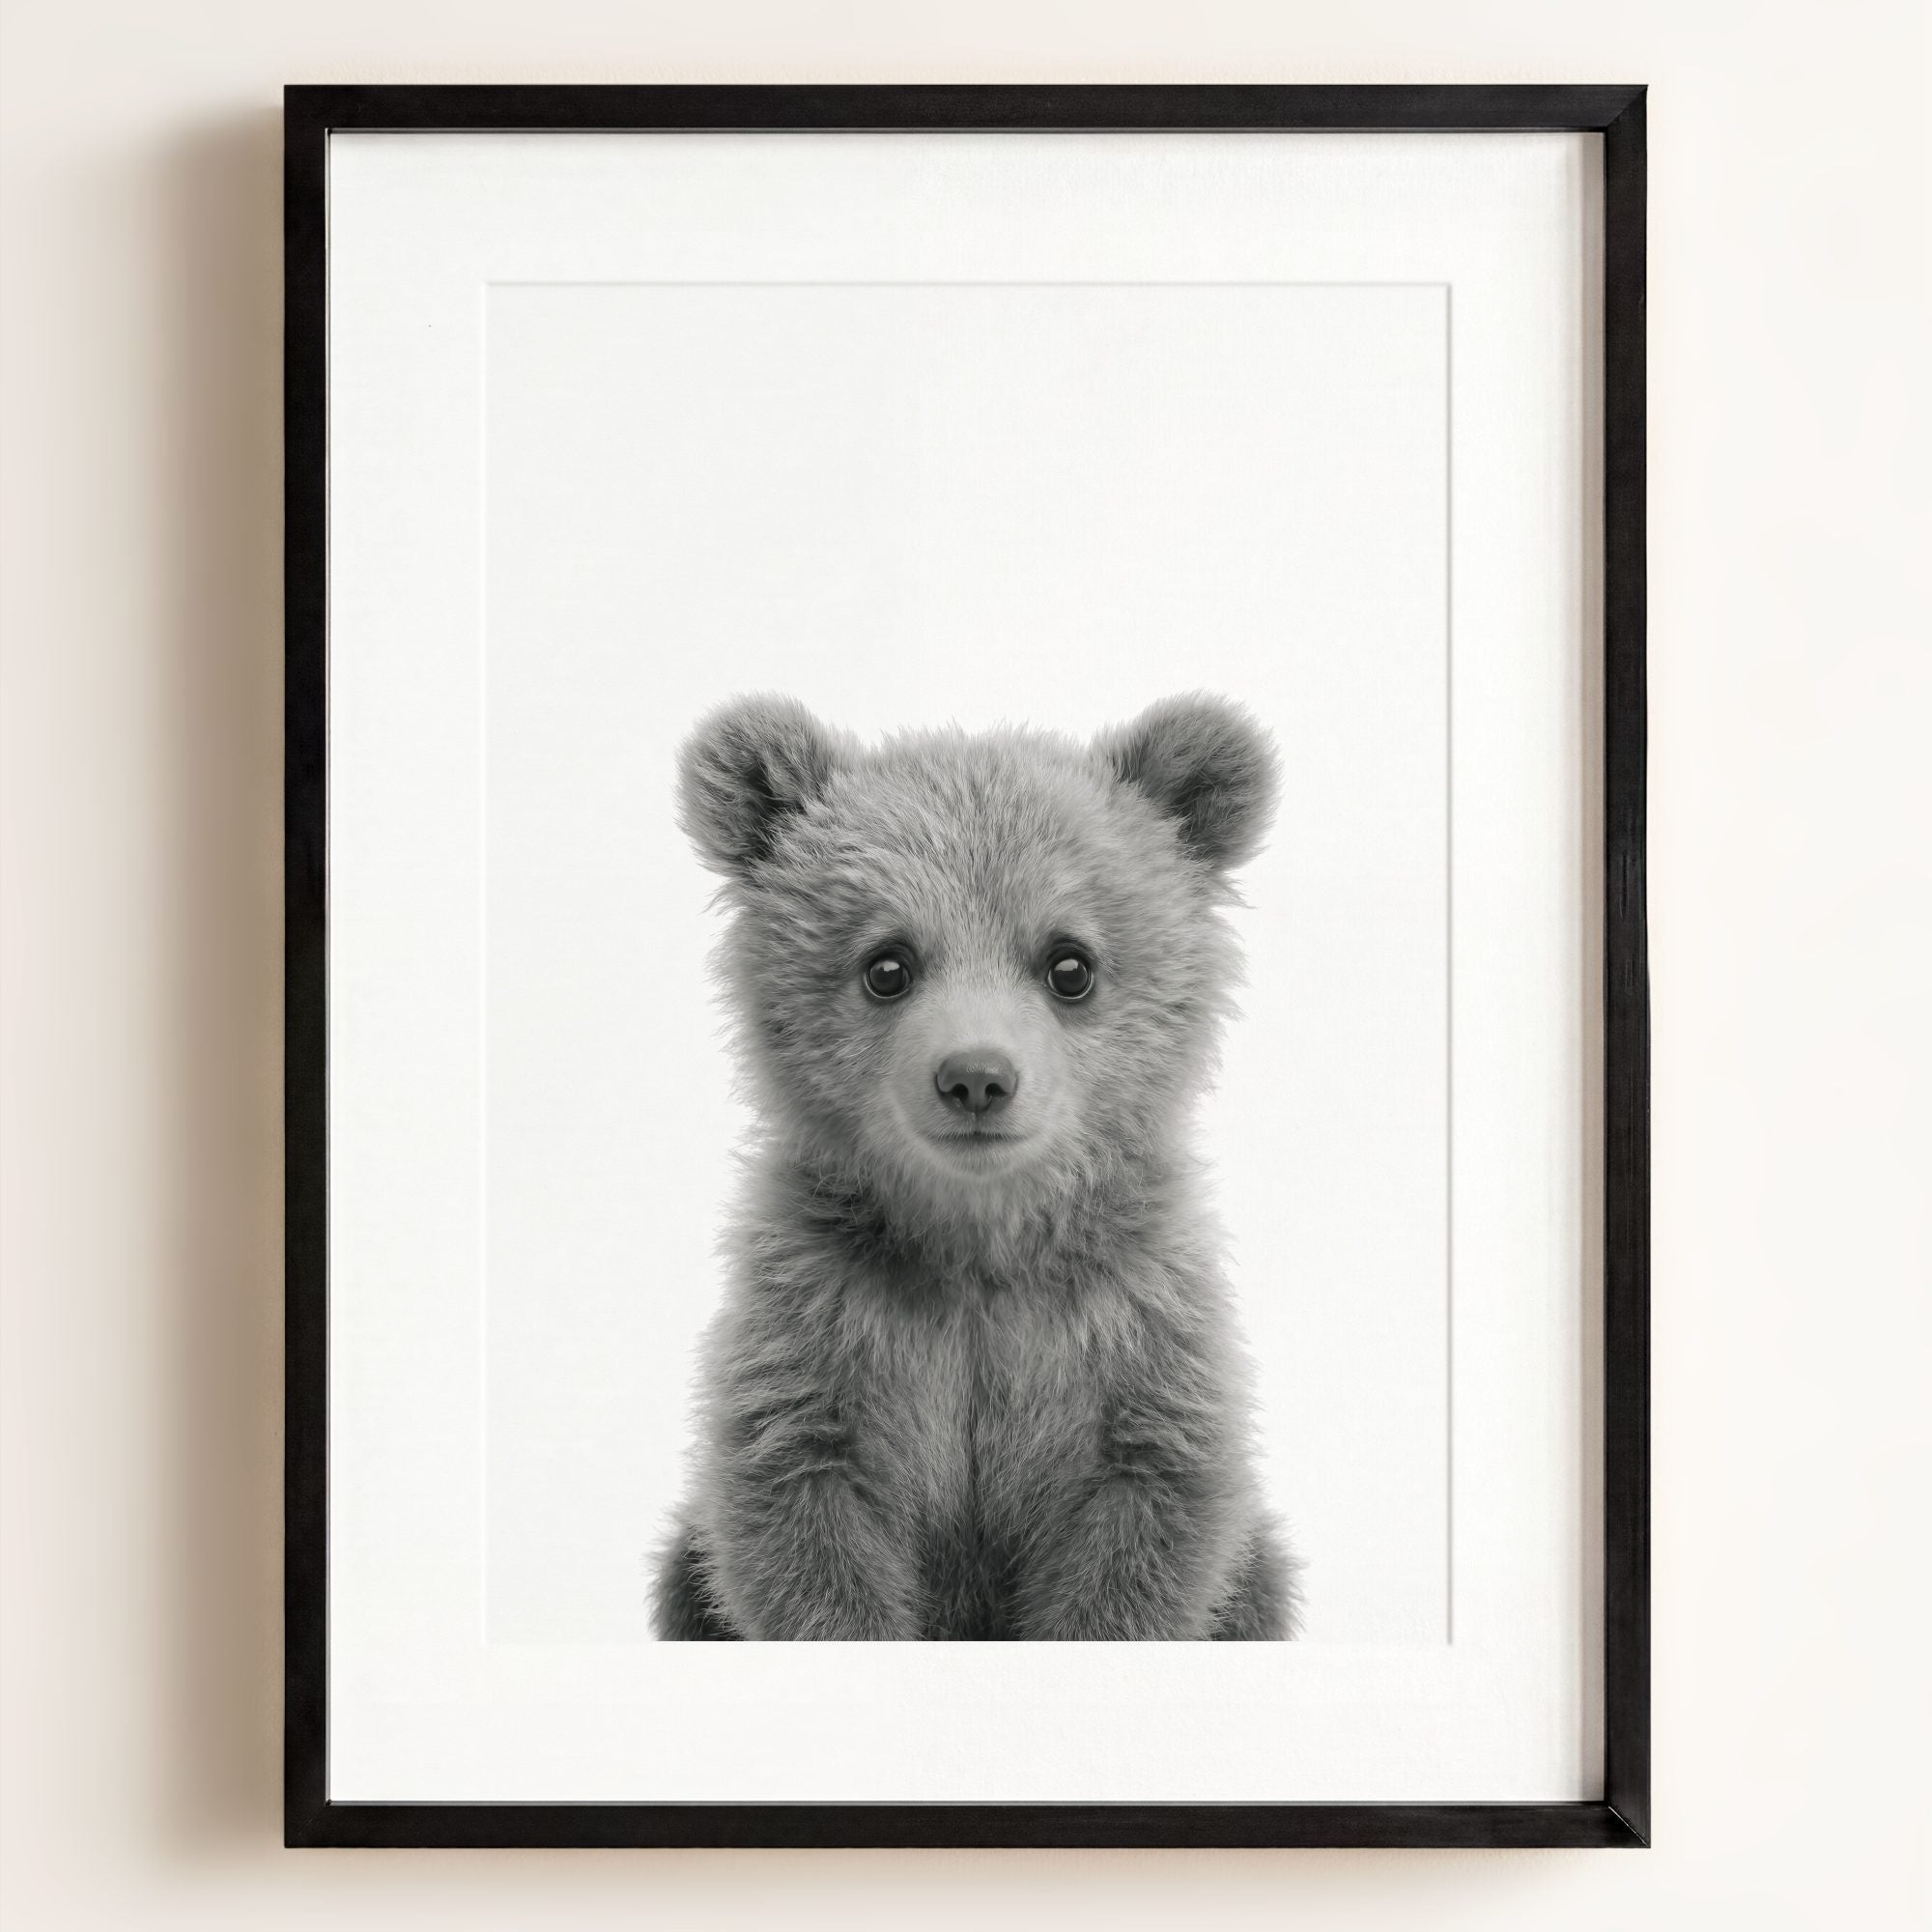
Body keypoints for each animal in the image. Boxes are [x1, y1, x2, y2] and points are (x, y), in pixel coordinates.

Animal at [652, 692, 1300, 1641]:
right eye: (887, 964)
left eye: (1070, 964)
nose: (976, 1078)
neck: (978, 1246)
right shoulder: (821, 1326)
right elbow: (801, 1523)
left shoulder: (1131, 1335)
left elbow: (1145, 1529)